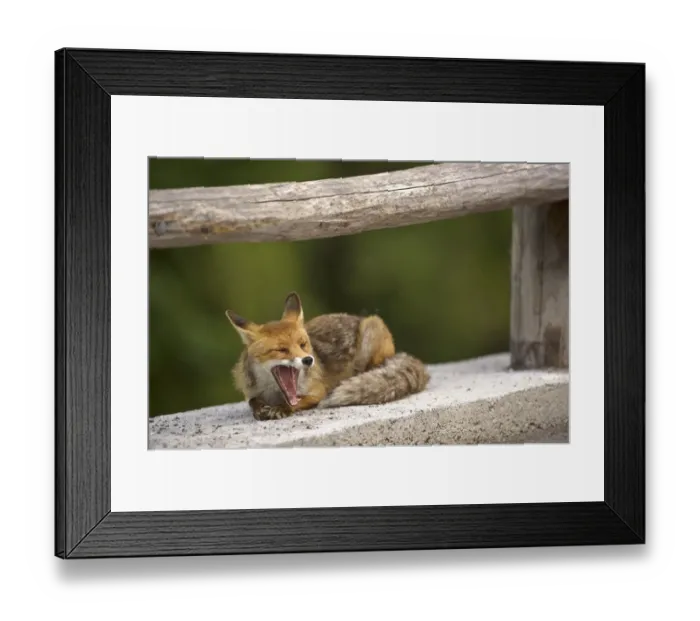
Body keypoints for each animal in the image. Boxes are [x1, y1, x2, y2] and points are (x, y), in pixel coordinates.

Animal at [225, 292, 430, 421]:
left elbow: (297, 402)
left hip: (372, 330)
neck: (273, 392)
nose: (308, 360)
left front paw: (281, 408)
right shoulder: (251, 392)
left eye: (303, 344)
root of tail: (356, 316)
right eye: (282, 349)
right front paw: (260, 409)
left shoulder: (318, 391)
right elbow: (252, 402)